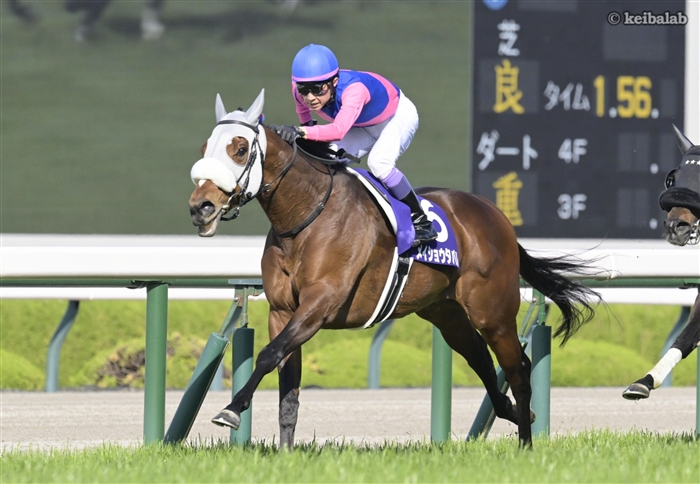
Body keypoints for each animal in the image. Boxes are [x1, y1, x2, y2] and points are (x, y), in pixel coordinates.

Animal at [188, 89, 599, 448]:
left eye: (240, 149)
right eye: (204, 148)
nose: (200, 207)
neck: (305, 217)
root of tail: (496, 215)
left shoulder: (320, 303)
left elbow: (268, 355)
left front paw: (230, 409)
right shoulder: (283, 310)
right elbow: (286, 384)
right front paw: (285, 452)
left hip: (493, 311)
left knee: (518, 367)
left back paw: (526, 441)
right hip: (445, 311)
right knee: (480, 358)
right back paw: (515, 413)